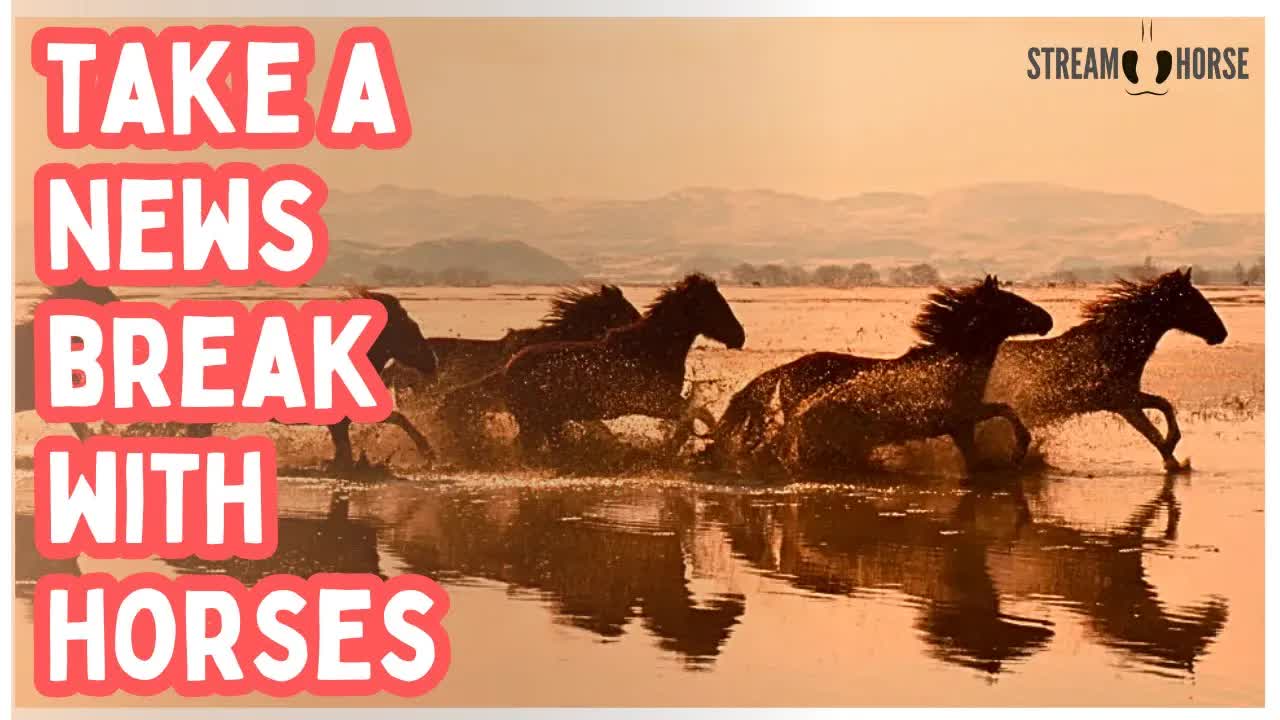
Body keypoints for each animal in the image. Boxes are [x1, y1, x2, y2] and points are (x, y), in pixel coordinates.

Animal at [498, 273, 745, 460]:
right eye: (713, 304)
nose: (740, 336)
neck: (653, 348)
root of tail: (508, 367)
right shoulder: (655, 403)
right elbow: (694, 414)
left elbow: (698, 414)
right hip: (535, 421)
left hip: (547, 422)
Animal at [771, 276, 1052, 476]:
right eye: (1013, 303)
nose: (1047, 320)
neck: (954, 363)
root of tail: (786, 370)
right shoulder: (960, 416)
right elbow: (1005, 410)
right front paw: (1019, 451)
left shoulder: (962, 426)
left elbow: (978, 456)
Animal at [985, 268, 1227, 472]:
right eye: (1194, 301)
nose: (1221, 333)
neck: (1114, 347)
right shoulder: (1121, 401)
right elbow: (1155, 426)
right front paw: (1172, 455)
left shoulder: (1127, 398)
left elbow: (1161, 410)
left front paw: (1174, 454)